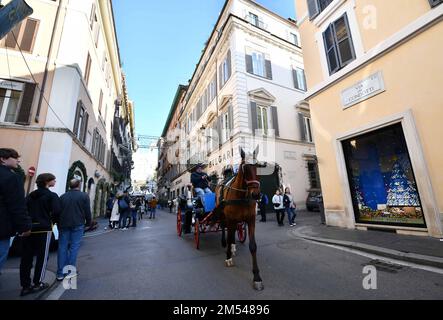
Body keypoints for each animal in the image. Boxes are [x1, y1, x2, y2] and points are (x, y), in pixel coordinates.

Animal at [215, 146, 264, 292]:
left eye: (258, 166)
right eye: (245, 168)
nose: (256, 194)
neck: (241, 196)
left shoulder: (251, 220)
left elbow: (253, 246)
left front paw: (257, 277)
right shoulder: (230, 219)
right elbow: (229, 235)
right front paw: (228, 257)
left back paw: (233, 247)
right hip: (224, 216)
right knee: (224, 229)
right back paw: (226, 245)